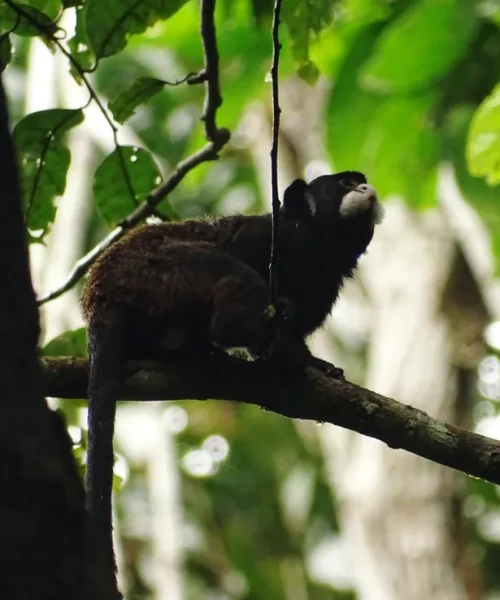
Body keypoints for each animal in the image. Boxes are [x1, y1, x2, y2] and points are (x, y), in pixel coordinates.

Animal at [79, 171, 382, 584]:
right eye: (344, 185)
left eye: (360, 181)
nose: (367, 189)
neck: (318, 245)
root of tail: (101, 300)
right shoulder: (272, 238)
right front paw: (300, 361)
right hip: (157, 274)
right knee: (227, 271)